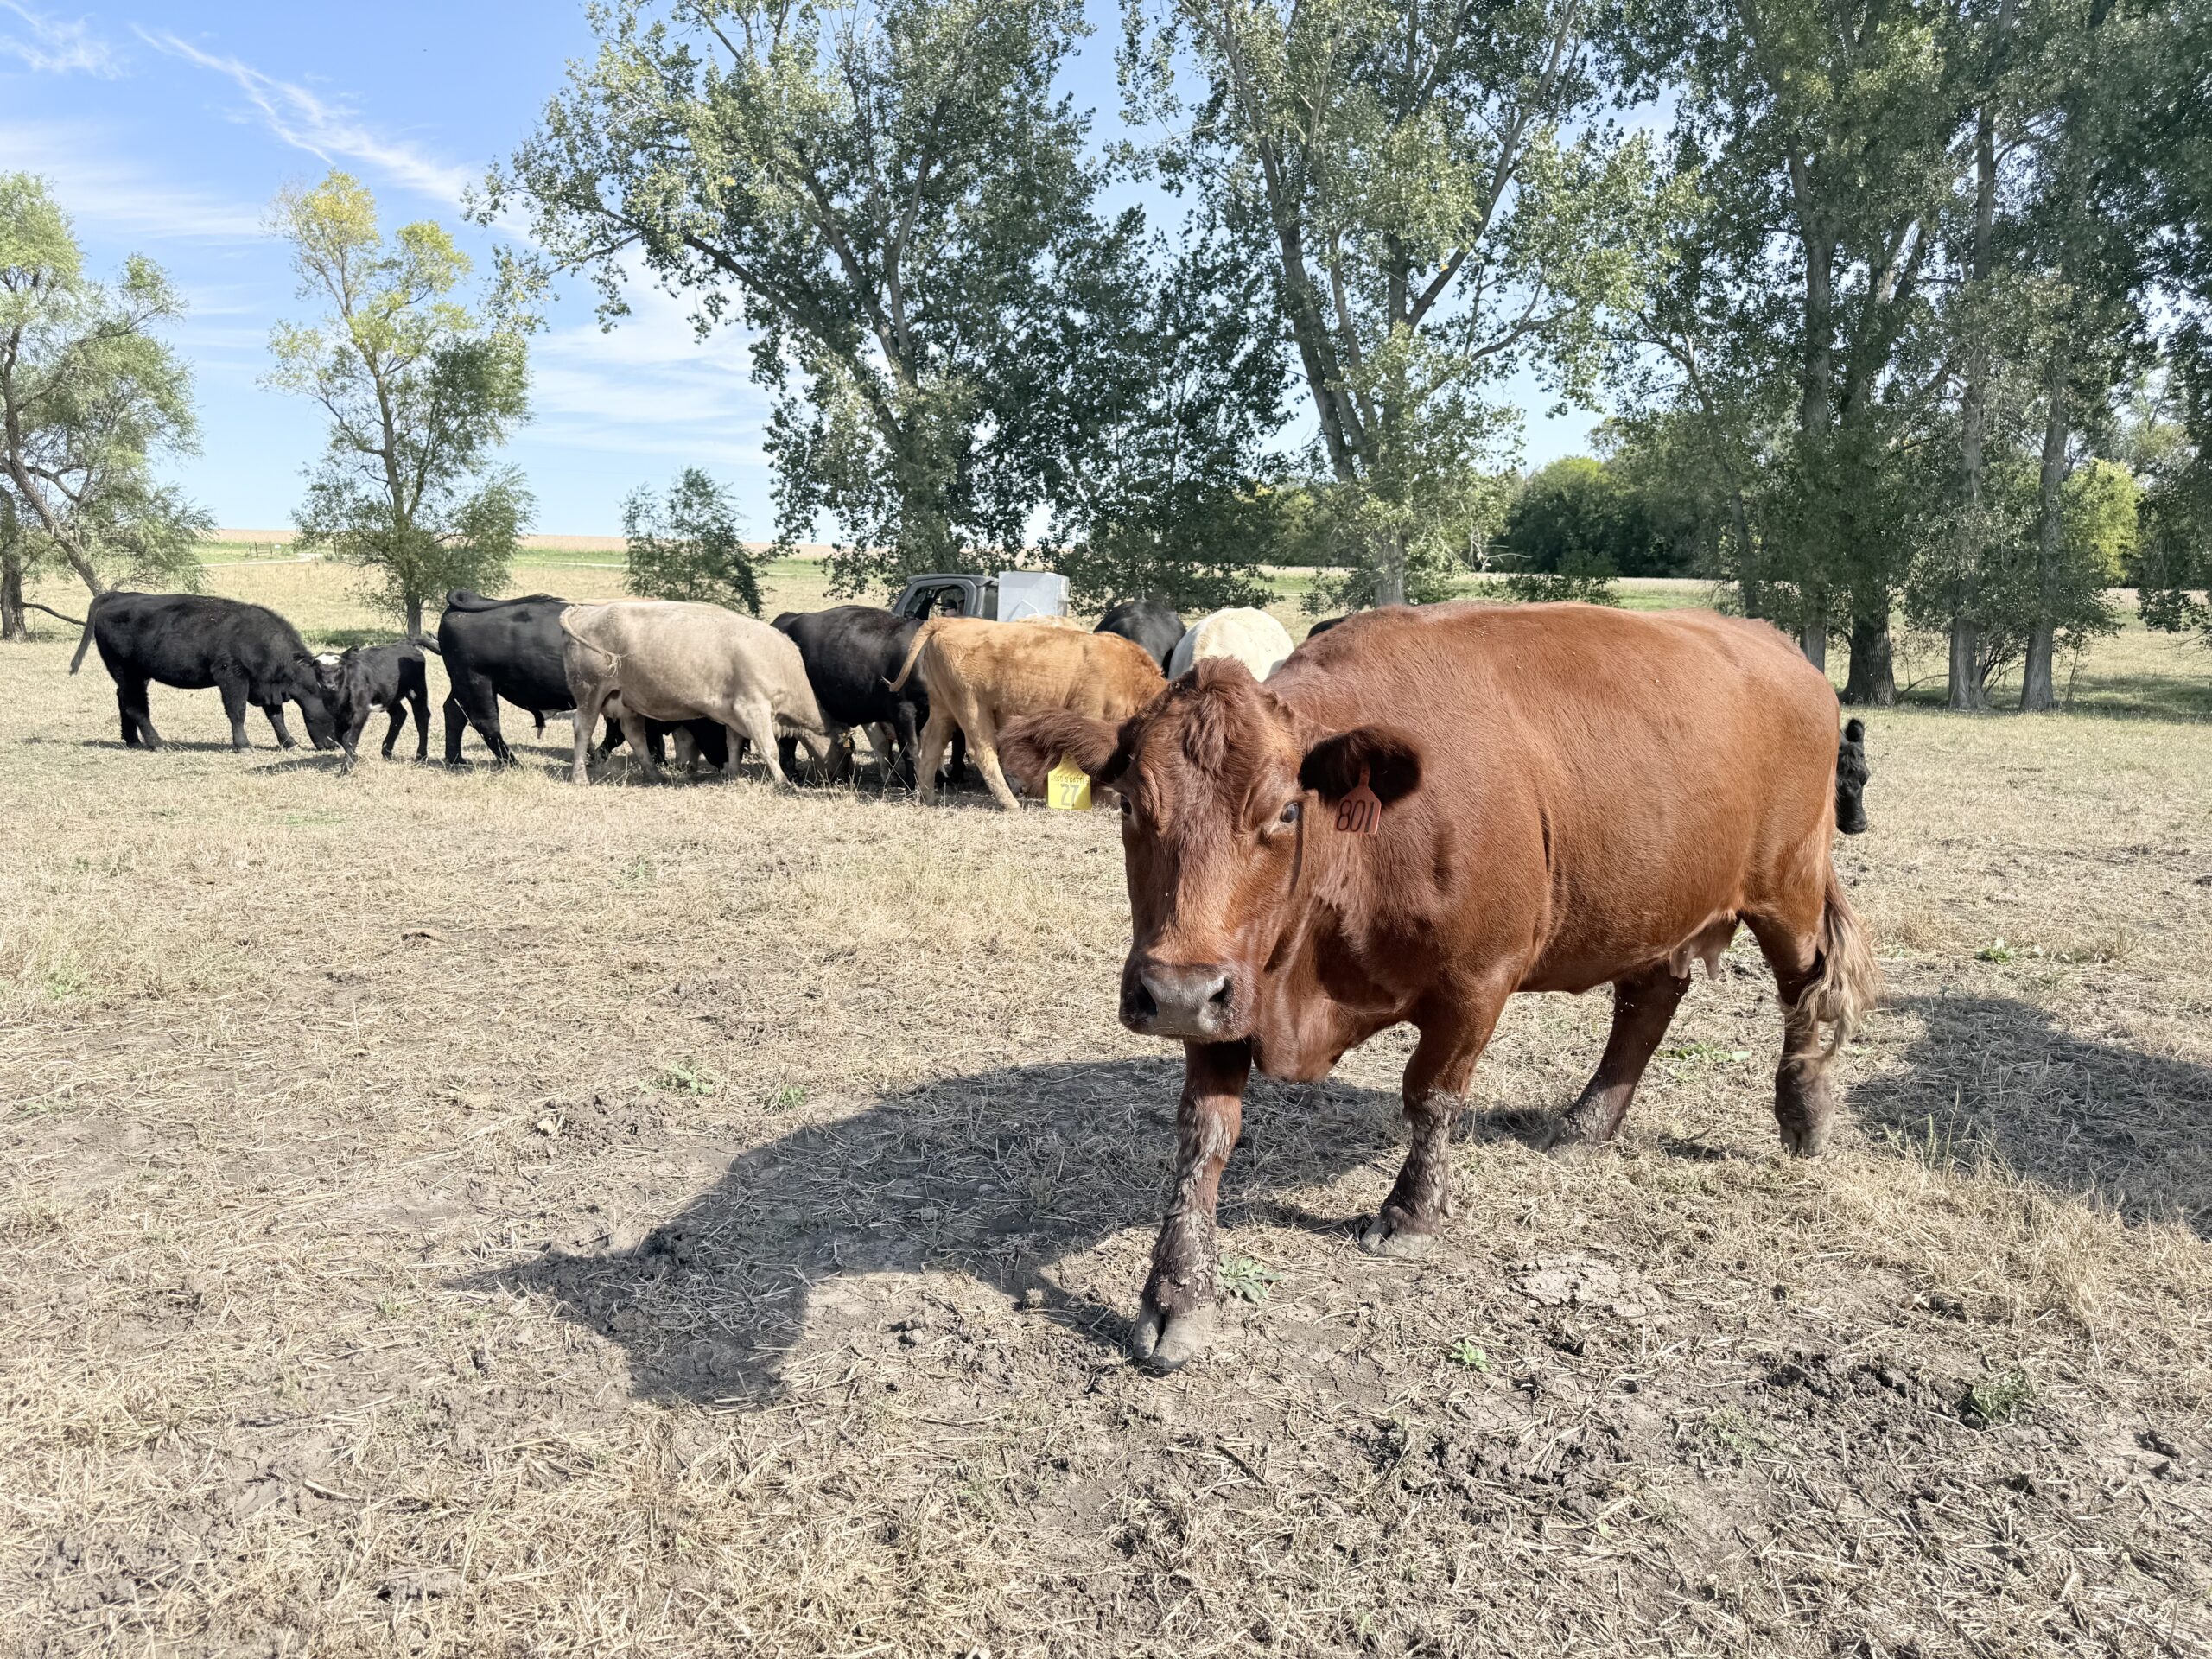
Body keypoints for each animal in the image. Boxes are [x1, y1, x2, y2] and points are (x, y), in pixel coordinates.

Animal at [70, 592, 337, 753]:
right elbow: (237, 712)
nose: (334, 745)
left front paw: (290, 743)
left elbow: (276, 716)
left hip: (134, 676)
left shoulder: (265, 686)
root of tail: (115, 596)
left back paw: (133, 740)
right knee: (136, 706)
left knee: (124, 700)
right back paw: (157, 743)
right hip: (127, 672)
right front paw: (243, 746)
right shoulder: (231, 677)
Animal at [316, 642, 430, 769]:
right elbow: (341, 737)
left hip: (418, 690)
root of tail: (406, 644)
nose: (329, 686)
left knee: (422, 718)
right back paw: (387, 751)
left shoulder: (361, 711)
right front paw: (354, 758)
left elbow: (351, 738)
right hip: (389, 696)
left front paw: (346, 767)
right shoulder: (337, 716)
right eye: (318, 669)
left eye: (339, 668)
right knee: (400, 714)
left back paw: (421, 757)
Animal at [559, 600, 837, 787]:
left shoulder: (735, 715)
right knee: (583, 729)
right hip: (590, 692)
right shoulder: (754, 708)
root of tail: (586, 611)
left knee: (635, 735)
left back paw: (654, 774)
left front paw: (735, 776)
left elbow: (734, 746)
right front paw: (783, 782)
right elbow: (769, 748)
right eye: (844, 748)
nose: (842, 777)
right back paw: (580, 777)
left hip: (625, 700)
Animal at [887, 616, 1166, 810]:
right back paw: (1010, 803)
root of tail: (947, 623)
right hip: (972, 707)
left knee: (931, 743)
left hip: (943, 708)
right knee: (982, 751)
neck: (1130, 677)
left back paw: (928, 796)